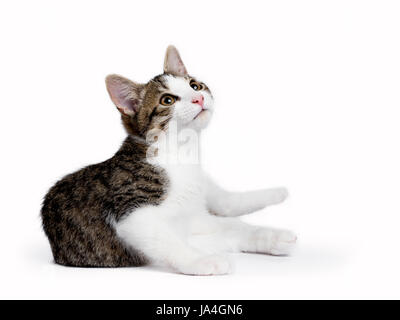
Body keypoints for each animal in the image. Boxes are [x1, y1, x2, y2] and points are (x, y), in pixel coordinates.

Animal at [41, 45, 296, 276]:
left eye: (195, 85)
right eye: (167, 100)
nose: (198, 98)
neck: (180, 154)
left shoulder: (194, 218)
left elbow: (233, 224)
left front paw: (270, 236)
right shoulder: (133, 212)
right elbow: (170, 241)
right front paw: (203, 261)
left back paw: (276, 193)